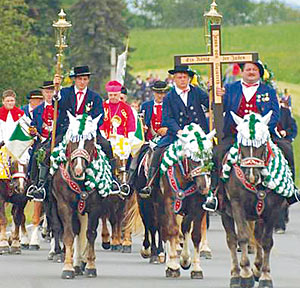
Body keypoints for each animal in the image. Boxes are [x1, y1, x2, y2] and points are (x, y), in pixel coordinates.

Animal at [158, 122, 214, 278]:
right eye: (192, 159)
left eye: (209, 158)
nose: (204, 187)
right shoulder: (170, 204)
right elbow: (172, 230)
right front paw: (174, 265)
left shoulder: (198, 208)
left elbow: (194, 234)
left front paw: (194, 266)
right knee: (165, 230)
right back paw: (169, 262)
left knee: (184, 228)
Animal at [221, 111, 290, 286]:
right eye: (242, 145)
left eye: (262, 145)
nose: (251, 176)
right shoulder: (237, 205)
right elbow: (242, 237)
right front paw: (245, 274)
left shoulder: (273, 209)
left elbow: (266, 241)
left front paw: (265, 275)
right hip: (226, 212)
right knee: (231, 239)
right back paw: (235, 274)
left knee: (258, 236)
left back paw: (257, 268)